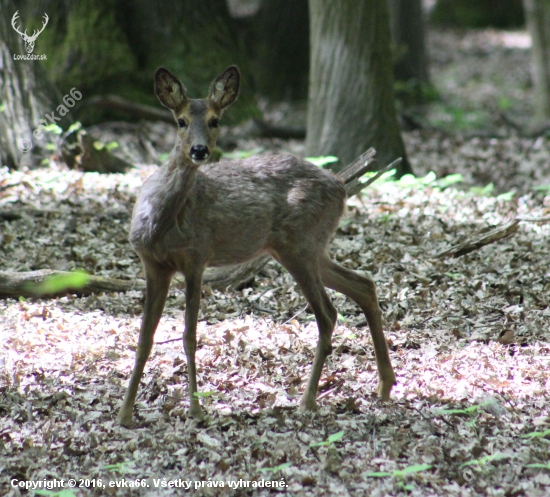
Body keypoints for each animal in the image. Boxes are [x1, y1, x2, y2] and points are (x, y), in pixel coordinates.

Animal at [117, 64, 396, 424]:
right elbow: (143, 338)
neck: (162, 224)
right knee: (363, 284)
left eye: (215, 120)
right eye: (180, 120)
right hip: (311, 247)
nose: (199, 150)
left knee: (328, 313)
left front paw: (195, 409)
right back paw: (385, 385)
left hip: (298, 244)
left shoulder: (197, 256)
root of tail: (340, 186)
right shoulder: (153, 264)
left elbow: (189, 335)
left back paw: (307, 401)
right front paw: (124, 414)